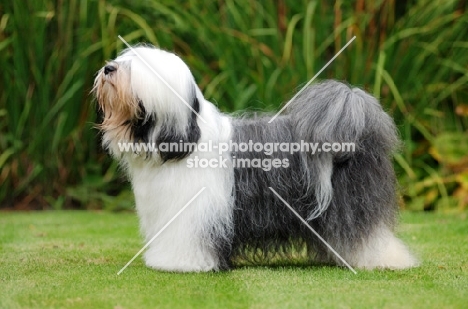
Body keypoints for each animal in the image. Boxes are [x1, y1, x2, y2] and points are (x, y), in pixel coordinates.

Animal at [91, 44, 416, 270]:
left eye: (135, 69)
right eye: (121, 61)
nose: (108, 68)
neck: (185, 140)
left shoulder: (194, 213)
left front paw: (180, 264)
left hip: (353, 202)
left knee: (366, 232)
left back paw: (385, 259)